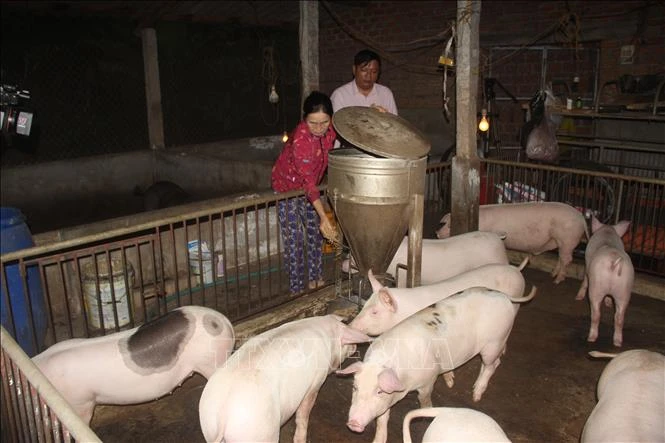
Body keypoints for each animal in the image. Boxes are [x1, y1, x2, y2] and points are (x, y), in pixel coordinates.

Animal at [198, 314, 371, 443]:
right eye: (347, 342)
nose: (356, 346)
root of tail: (223, 416)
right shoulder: (315, 382)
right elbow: (303, 413)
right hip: (259, 432)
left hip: (208, 426)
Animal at [338, 286, 535, 443]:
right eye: (355, 387)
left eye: (378, 391)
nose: (353, 423)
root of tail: (503, 295)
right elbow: (382, 419)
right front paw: (378, 440)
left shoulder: (428, 380)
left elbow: (425, 401)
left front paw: (427, 414)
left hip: (495, 341)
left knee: (492, 364)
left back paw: (476, 395)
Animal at [436, 202, 588, 284]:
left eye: (448, 225)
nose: (437, 233)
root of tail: (581, 219)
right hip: (560, 241)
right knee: (561, 257)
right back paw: (553, 274)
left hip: (567, 238)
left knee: (567, 259)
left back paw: (557, 280)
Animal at [575, 217, 634, 347]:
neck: (607, 231)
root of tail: (614, 263)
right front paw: (608, 303)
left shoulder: (587, 262)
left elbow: (585, 279)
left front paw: (578, 298)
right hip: (624, 288)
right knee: (619, 317)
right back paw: (617, 343)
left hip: (596, 285)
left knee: (596, 313)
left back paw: (591, 338)